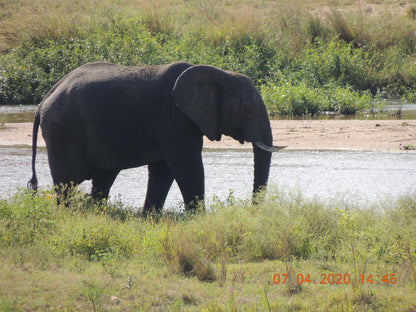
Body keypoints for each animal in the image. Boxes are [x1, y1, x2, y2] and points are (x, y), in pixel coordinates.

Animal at [26, 61, 282, 214]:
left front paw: (149, 217)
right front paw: (199, 219)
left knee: (103, 178)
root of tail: (43, 100)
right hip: (63, 129)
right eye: (246, 109)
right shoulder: (174, 118)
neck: (218, 73)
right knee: (67, 183)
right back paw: (68, 214)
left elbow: (163, 171)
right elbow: (187, 166)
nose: (253, 211)